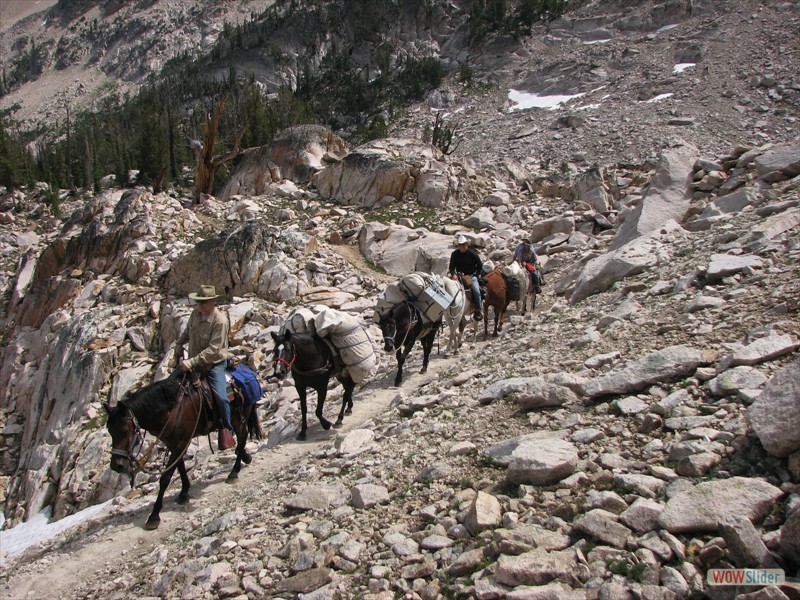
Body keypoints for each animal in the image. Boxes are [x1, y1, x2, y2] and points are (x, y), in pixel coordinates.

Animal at [104, 376, 260, 528]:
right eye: (110, 431)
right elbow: (180, 466)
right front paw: (184, 492)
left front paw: (154, 516)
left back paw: (233, 473)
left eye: (125, 430)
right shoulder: (174, 444)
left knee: (242, 436)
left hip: (239, 417)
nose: (117, 465)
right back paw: (245, 458)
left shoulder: (181, 443)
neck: (169, 410)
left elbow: (165, 478)